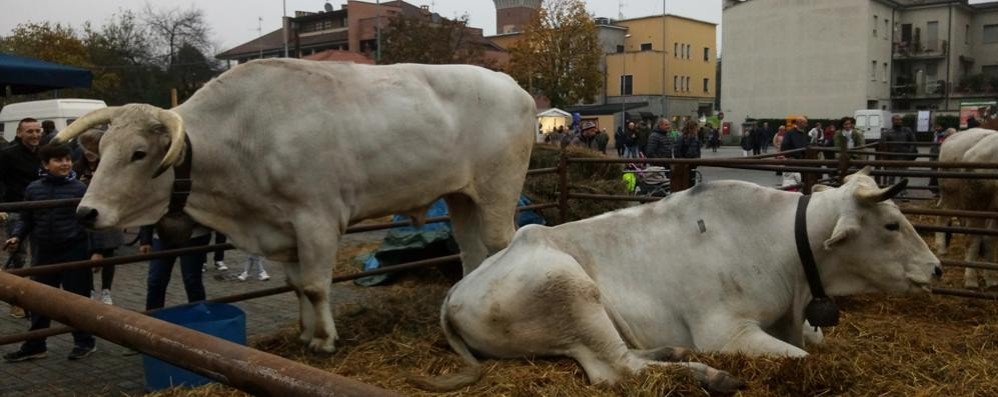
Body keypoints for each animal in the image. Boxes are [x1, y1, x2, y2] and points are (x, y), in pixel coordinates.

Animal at [52, 58, 540, 350]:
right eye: (103, 148)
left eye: (138, 153)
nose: (86, 212)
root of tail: (512, 85)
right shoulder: (281, 227)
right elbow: (296, 285)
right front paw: (306, 334)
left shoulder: (317, 220)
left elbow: (316, 285)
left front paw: (324, 341)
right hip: (462, 195)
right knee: (470, 250)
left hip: (499, 188)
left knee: (500, 244)